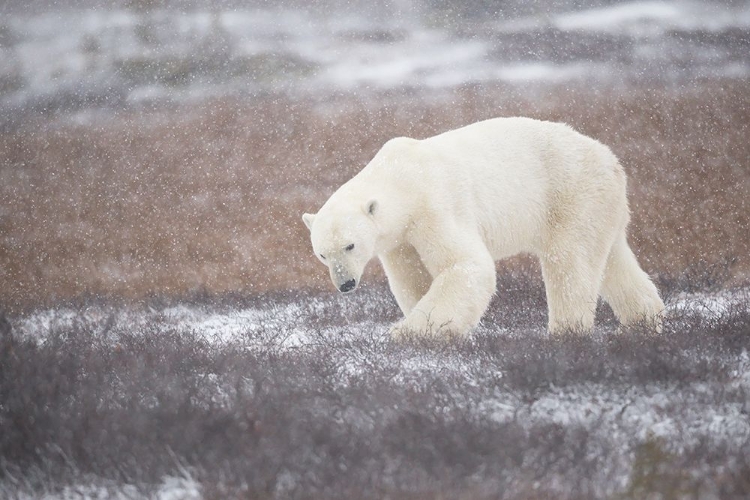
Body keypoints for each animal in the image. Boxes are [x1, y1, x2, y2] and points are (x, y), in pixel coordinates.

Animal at [302, 117, 668, 338]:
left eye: (350, 245)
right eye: (322, 254)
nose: (345, 284)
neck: (401, 177)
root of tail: (612, 161)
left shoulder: (434, 207)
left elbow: (465, 265)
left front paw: (409, 333)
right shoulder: (399, 238)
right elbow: (412, 278)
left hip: (572, 194)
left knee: (569, 263)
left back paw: (566, 331)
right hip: (600, 207)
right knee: (612, 261)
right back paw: (643, 322)